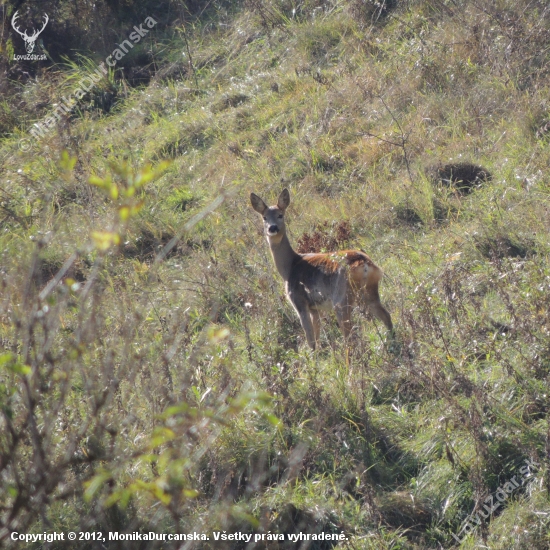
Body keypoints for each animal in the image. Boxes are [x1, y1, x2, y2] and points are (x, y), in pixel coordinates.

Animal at [252, 190, 394, 352]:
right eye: (264, 217)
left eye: (280, 215)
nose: (272, 228)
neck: (290, 267)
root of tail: (364, 264)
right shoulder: (315, 308)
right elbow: (318, 334)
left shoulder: (299, 302)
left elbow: (311, 340)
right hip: (369, 292)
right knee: (386, 317)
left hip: (341, 298)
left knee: (349, 336)